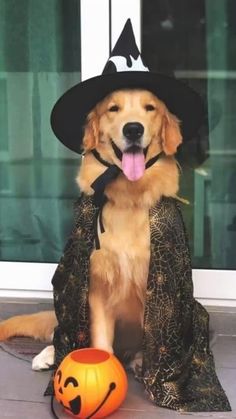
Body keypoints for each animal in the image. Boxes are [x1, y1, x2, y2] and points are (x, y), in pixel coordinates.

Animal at [0, 89, 183, 370]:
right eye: (113, 108)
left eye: (150, 108)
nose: (133, 129)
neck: (128, 198)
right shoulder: (97, 286)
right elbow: (100, 341)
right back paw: (49, 354)